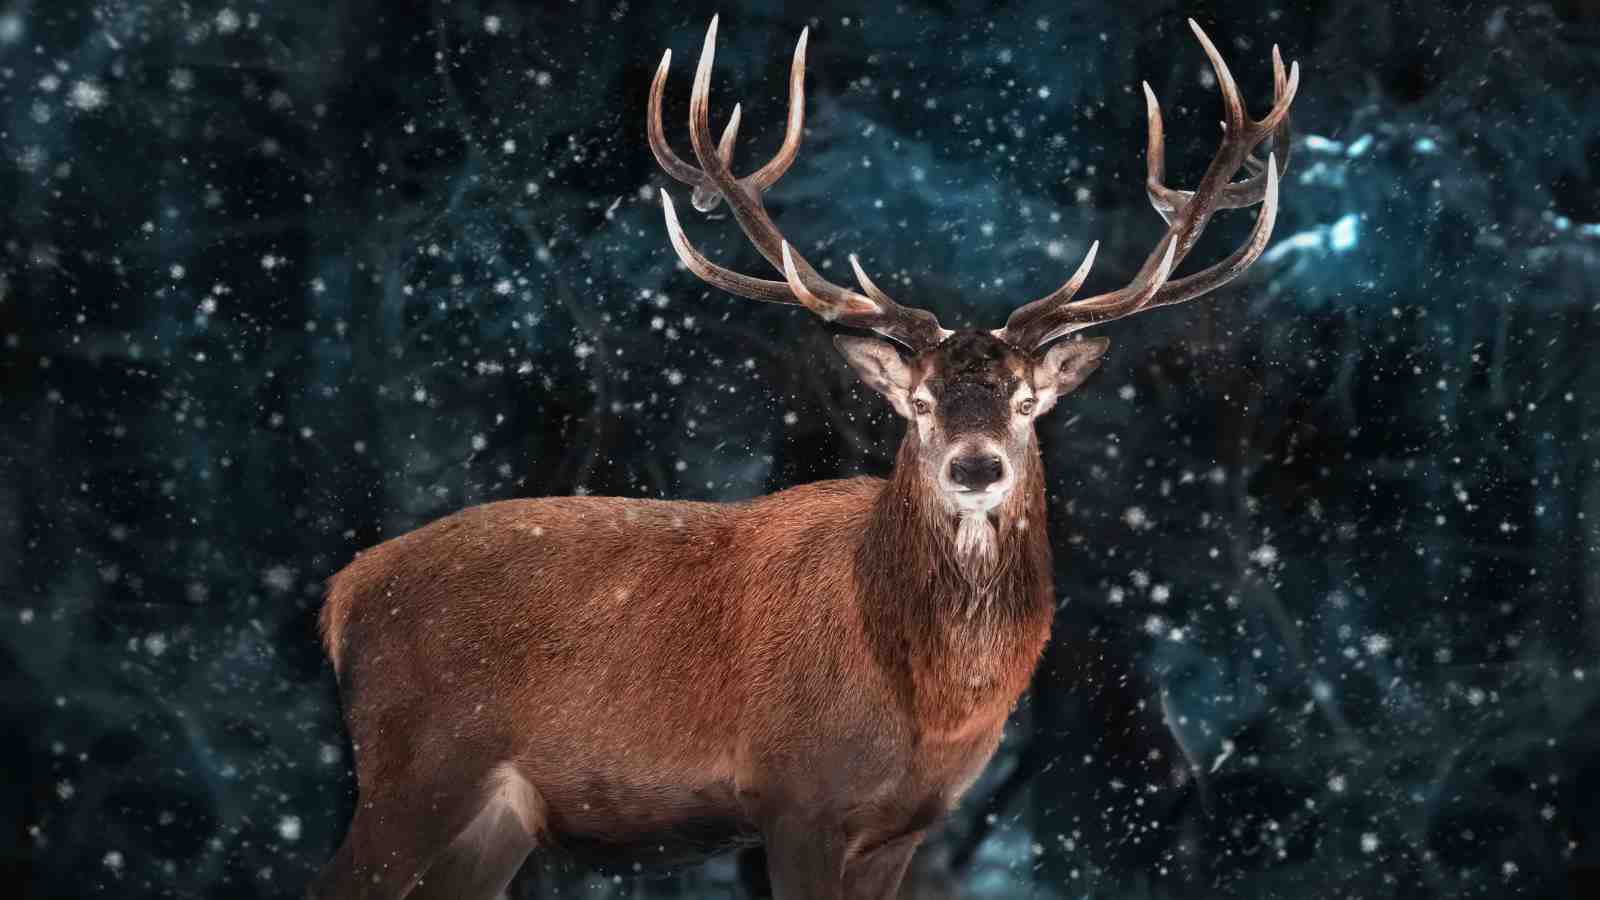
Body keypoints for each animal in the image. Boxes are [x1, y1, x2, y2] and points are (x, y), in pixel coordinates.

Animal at [310, 16, 1297, 900]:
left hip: (496, 814)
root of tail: (342, 597)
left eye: (1026, 405)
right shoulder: (796, 798)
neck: (923, 706)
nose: (976, 468)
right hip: (412, 766)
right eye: (919, 406)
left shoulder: (907, 827)